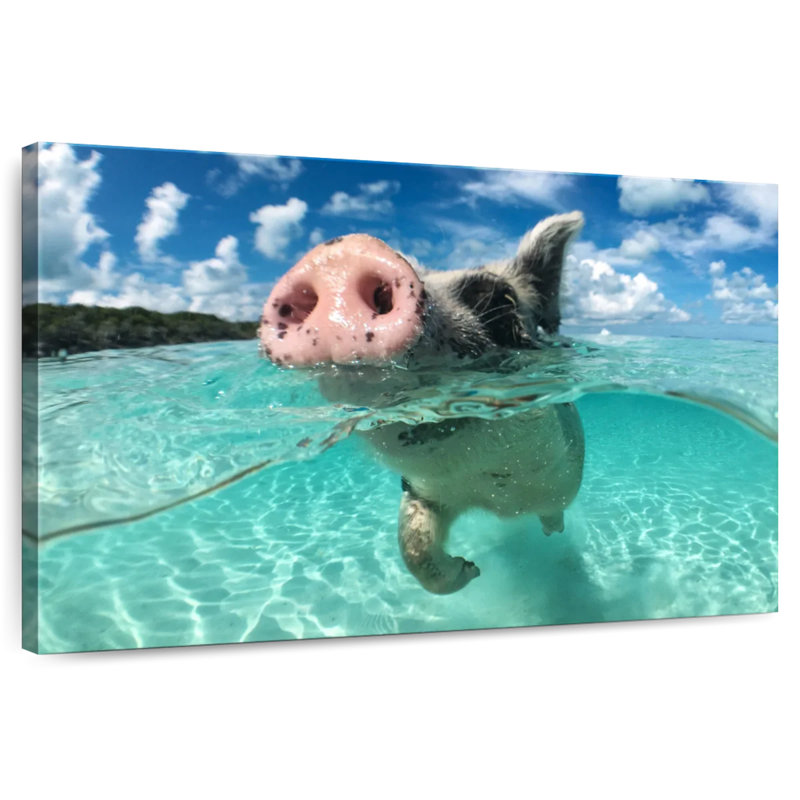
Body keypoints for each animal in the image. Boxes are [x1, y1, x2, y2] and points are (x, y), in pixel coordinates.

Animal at [259, 212, 586, 594]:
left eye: (499, 299)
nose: (341, 255)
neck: (496, 497)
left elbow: (553, 509)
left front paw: (484, 563)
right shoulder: (421, 491)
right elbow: (412, 546)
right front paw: (470, 570)